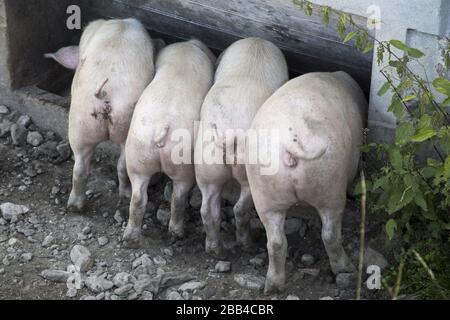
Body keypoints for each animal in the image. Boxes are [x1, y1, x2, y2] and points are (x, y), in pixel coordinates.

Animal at [44, 18, 156, 211]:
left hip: (81, 124)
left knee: (80, 167)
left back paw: (76, 206)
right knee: (115, 165)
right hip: (111, 126)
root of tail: (105, 92)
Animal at [121, 38, 216, 248]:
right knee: (178, 197)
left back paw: (130, 238)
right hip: (183, 165)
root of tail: (161, 127)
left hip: (137, 155)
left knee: (138, 198)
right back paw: (177, 233)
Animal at [193, 37, 288, 258]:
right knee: (239, 208)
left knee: (207, 209)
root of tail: (228, 135)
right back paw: (247, 244)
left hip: (206, 165)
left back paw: (215, 250)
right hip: (249, 174)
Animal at [246, 71, 370, 294]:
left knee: (275, 242)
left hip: (264, 193)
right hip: (330, 185)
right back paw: (347, 269)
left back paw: (272, 287)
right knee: (330, 234)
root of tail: (291, 140)